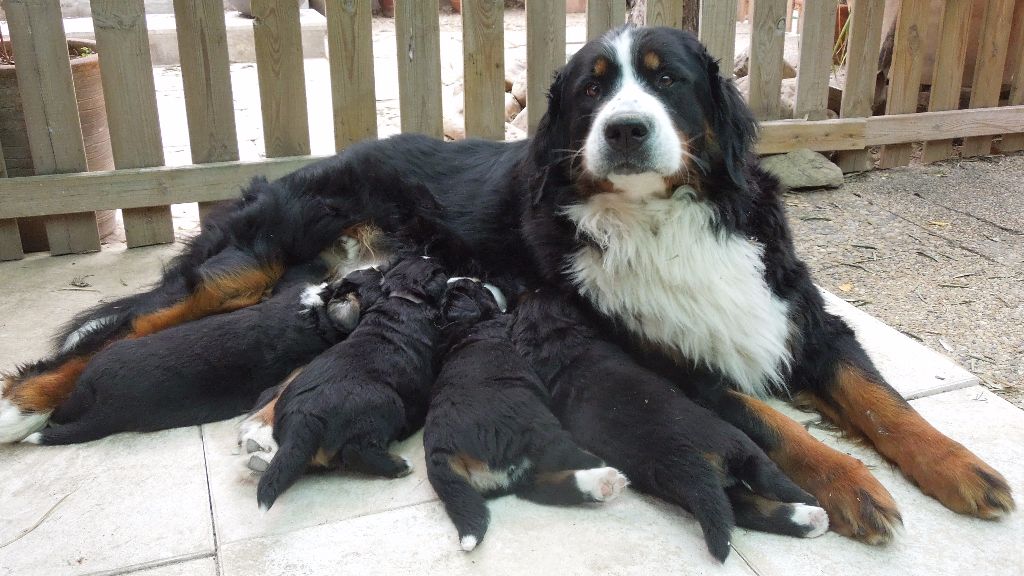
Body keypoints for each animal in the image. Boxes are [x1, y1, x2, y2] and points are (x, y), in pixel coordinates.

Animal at [421, 278, 622, 553]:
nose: (482, 279)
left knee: (550, 488)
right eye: (476, 287)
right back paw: (599, 466)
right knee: (563, 455)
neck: (469, 326)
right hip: (535, 427)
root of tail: (443, 451)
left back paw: (604, 484)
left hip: (524, 474)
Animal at [512, 289, 831, 557]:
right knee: (766, 484)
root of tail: (694, 461)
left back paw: (809, 517)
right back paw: (812, 506)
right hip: (738, 445)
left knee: (748, 503)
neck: (561, 346)